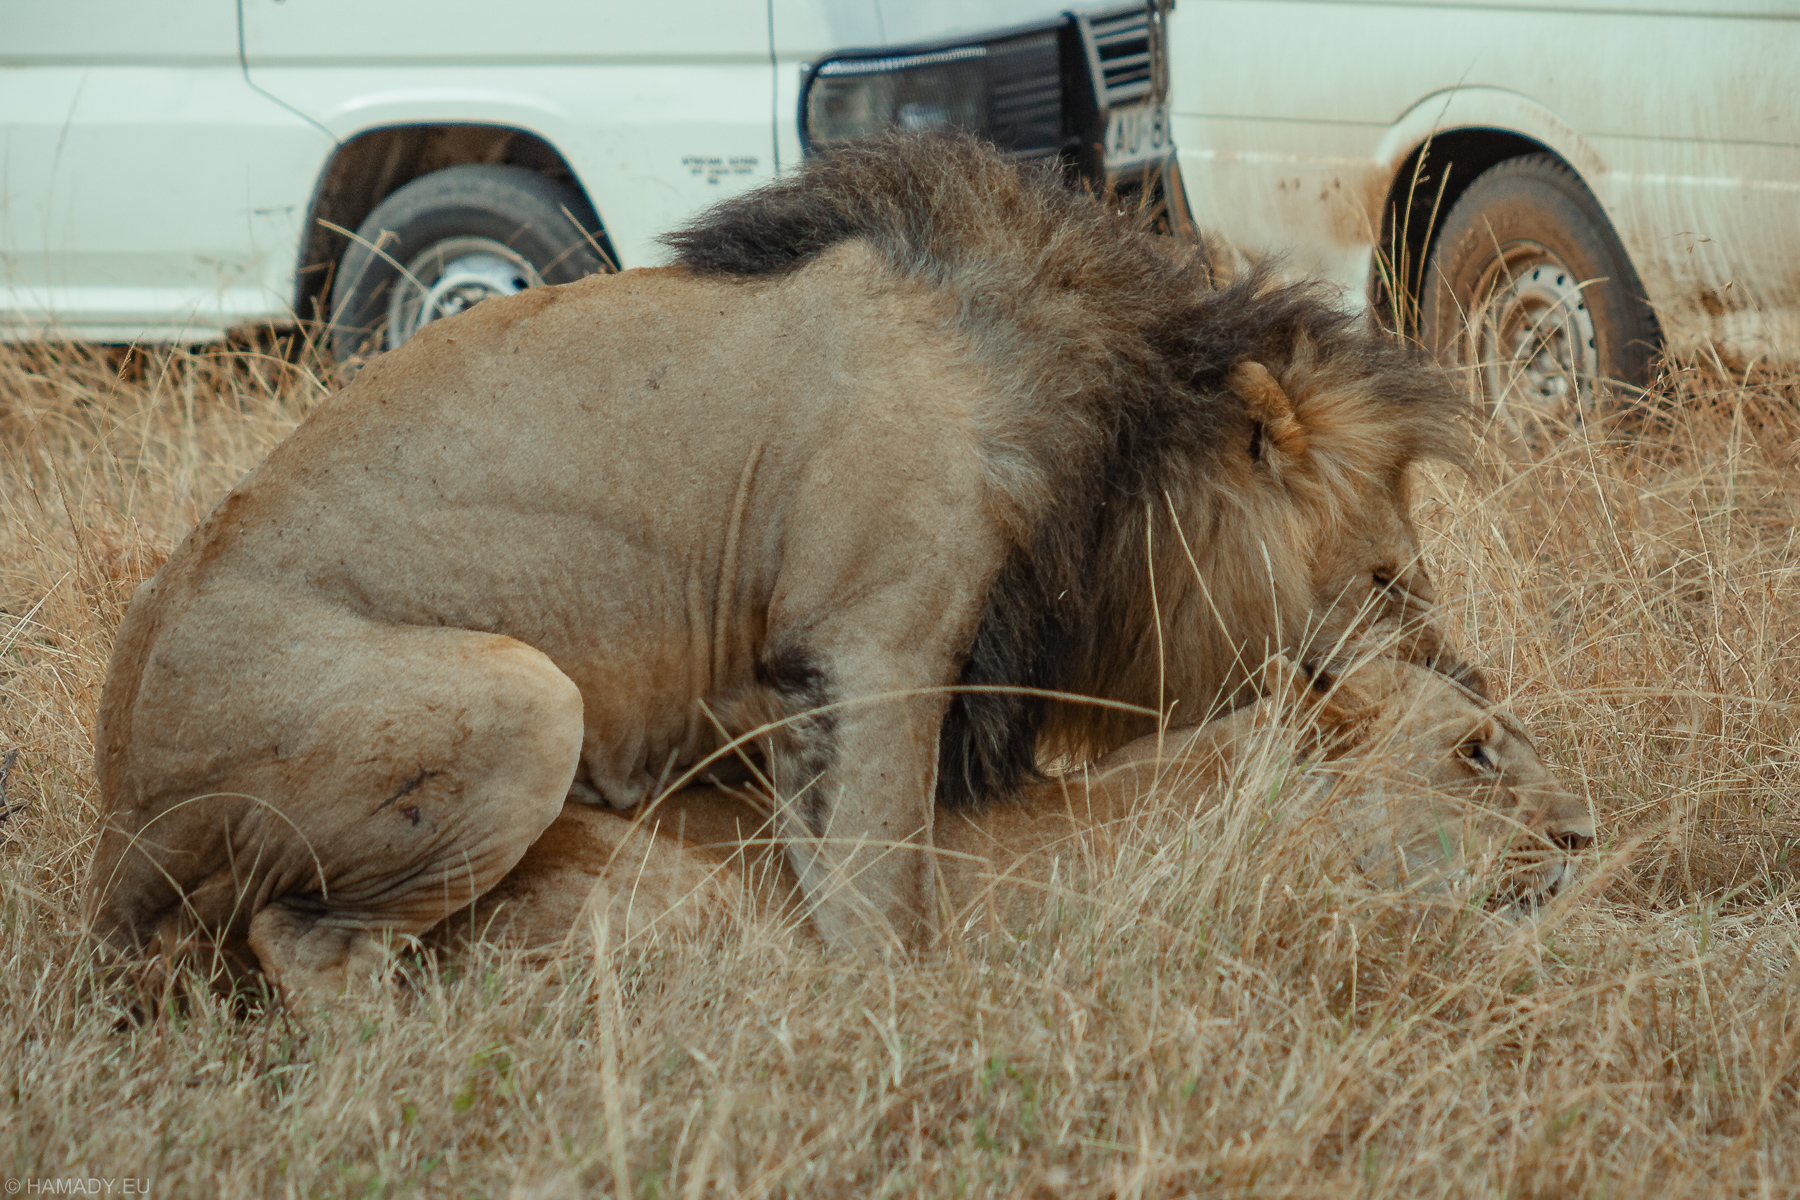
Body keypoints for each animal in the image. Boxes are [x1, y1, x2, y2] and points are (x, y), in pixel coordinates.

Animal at [81, 131, 1476, 1000]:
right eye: (1389, 579)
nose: (1467, 693)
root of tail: (112, 824)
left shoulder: (798, 694)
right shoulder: (880, 645)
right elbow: (884, 891)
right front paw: (903, 1028)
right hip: (524, 697)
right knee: (301, 942)